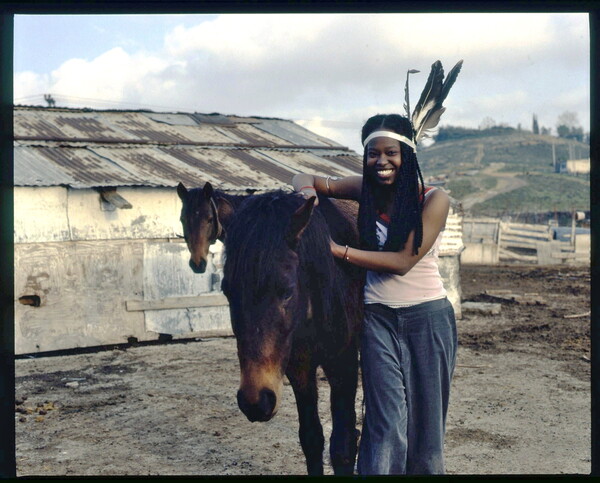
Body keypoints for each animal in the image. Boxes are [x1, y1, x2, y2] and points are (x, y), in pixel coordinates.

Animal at [219, 191, 364, 474]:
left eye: (286, 290)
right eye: (226, 290)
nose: (256, 401)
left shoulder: (343, 365)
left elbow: (342, 448)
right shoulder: (299, 370)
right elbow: (311, 439)